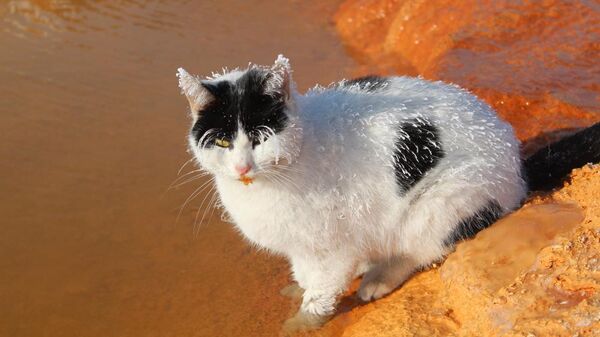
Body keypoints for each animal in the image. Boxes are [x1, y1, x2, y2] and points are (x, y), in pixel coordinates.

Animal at [176, 55, 596, 330]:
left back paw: (377, 278)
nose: (242, 168)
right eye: (223, 141)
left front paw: (302, 322)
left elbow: (322, 290)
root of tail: (517, 163)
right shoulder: (302, 245)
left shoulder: (332, 246)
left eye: (261, 139)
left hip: (442, 202)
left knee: (419, 250)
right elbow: (306, 273)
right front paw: (301, 289)